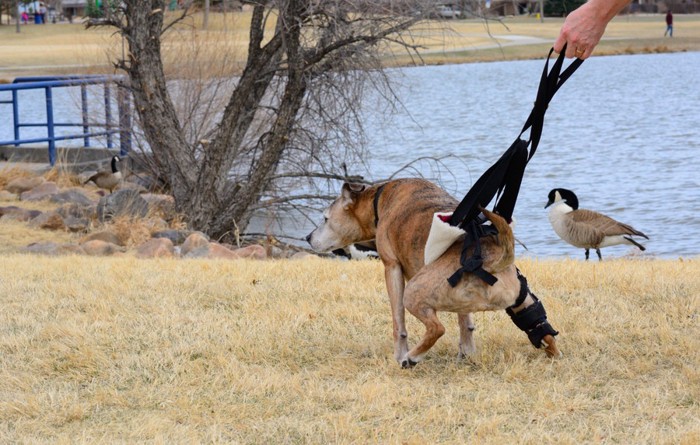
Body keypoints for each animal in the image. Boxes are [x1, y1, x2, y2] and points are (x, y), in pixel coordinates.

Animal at [306, 178, 556, 368]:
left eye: (326, 218)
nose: (307, 237)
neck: (378, 199)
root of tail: (494, 258)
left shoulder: (392, 268)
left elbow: (399, 324)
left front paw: (400, 353)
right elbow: (465, 324)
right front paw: (466, 352)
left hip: (414, 291)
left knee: (437, 328)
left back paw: (411, 357)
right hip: (518, 298)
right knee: (537, 322)